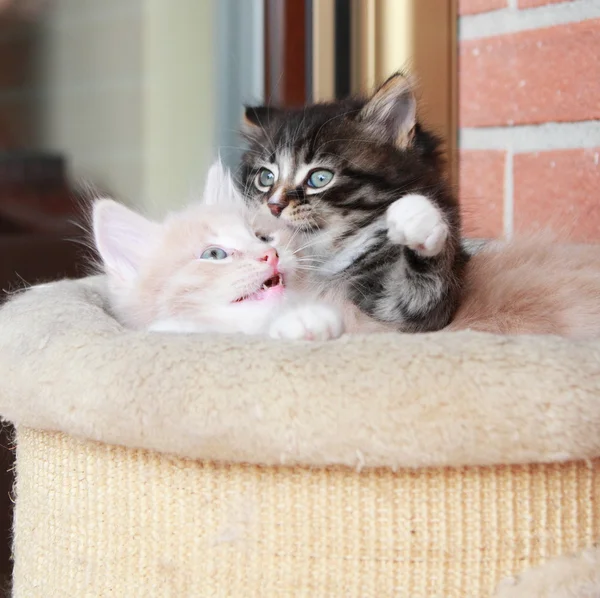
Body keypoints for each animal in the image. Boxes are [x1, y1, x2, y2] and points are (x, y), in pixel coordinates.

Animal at [239, 73, 468, 336]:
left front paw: (417, 216)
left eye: (320, 178)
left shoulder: (405, 310)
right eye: (266, 178)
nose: (274, 205)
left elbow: (421, 291)